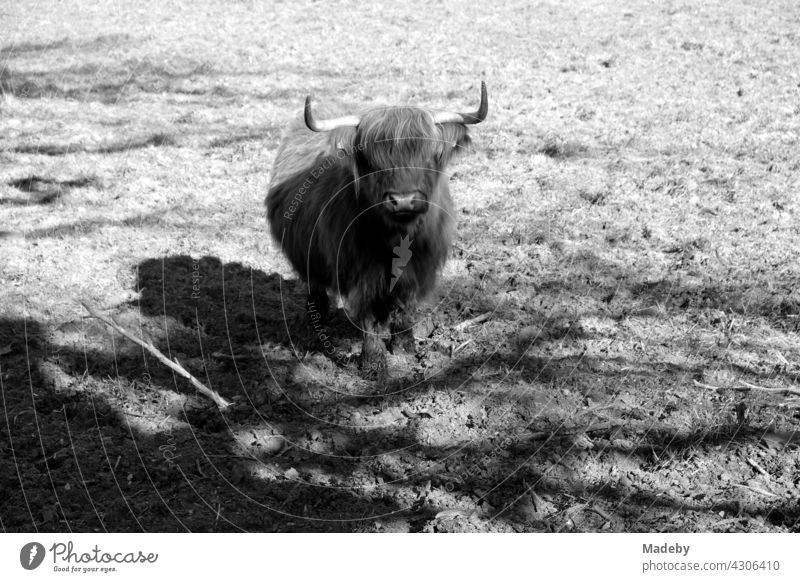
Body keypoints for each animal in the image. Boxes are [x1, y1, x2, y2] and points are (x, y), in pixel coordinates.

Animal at [268, 82, 488, 378]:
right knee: (316, 287)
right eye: (371, 161)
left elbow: (405, 306)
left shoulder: (418, 268)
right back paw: (318, 320)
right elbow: (368, 314)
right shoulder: (360, 270)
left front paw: (405, 349)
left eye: (428, 157)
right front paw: (373, 362)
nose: (404, 200)